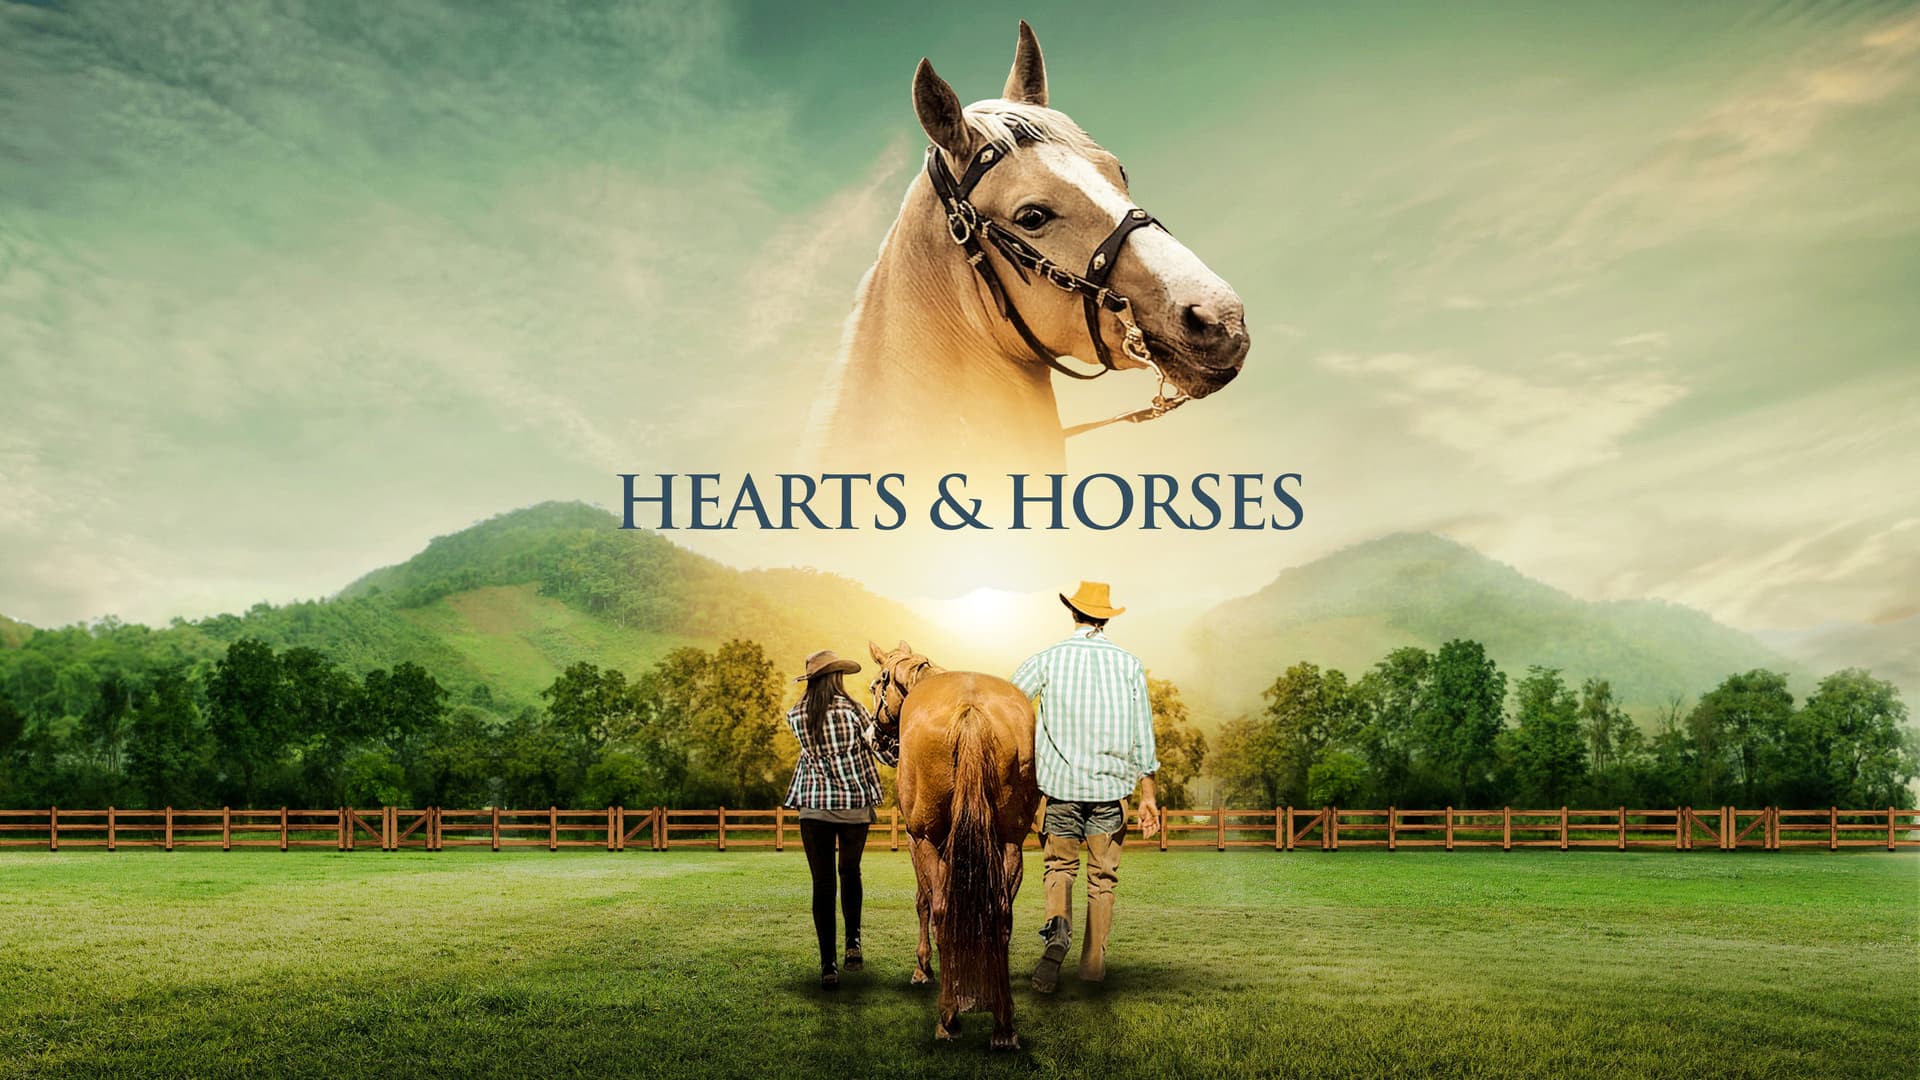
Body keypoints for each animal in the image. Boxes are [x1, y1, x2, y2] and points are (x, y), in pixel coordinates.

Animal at [868, 639, 1040, 1051]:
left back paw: (948, 1017)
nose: (871, 736)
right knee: (1001, 915)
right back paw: (1003, 1025)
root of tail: (971, 709)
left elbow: (924, 901)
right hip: (1010, 842)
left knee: (943, 909)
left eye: (874, 685)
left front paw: (922, 968)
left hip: (929, 838)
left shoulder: (918, 838)